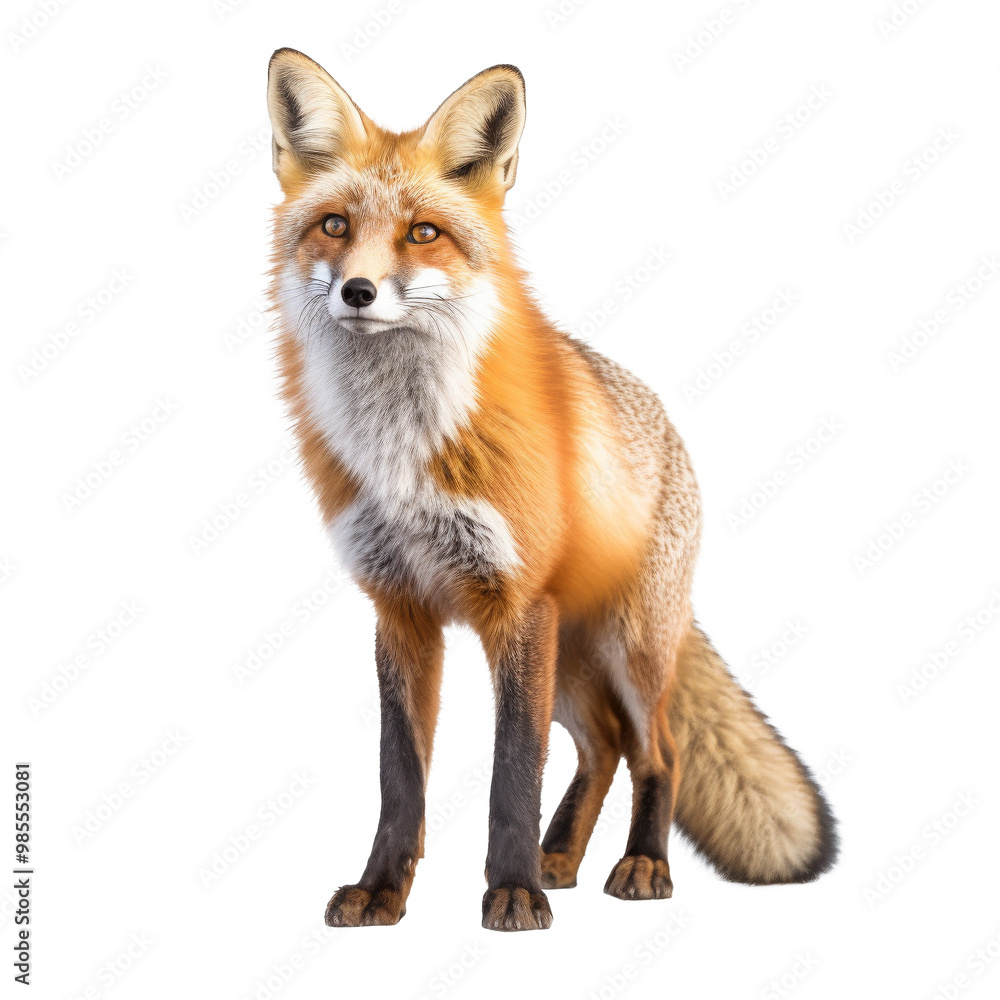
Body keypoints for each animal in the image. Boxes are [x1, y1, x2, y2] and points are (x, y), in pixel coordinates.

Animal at [265, 48, 838, 932]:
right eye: (334, 226)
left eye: (422, 233)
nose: (356, 291)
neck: (403, 449)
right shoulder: (401, 609)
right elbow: (401, 777)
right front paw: (384, 892)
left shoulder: (515, 604)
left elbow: (512, 772)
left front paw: (511, 893)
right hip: (568, 661)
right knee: (601, 747)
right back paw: (560, 857)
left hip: (625, 651)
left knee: (657, 751)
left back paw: (639, 865)